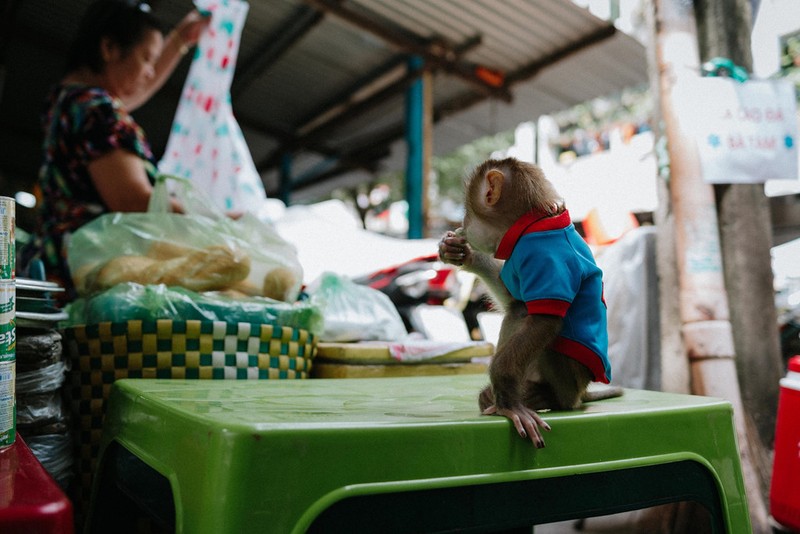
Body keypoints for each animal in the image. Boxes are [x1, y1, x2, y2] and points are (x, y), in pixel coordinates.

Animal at [438, 158, 620, 448]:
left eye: (467, 210)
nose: (462, 223)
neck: (530, 225)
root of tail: (582, 392)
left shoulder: (547, 259)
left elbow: (544, 320)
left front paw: (509, 401)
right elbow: (512, 297)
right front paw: (461, 253)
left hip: (569, 378)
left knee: (526, 315)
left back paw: (543, 397)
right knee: (516, 309)